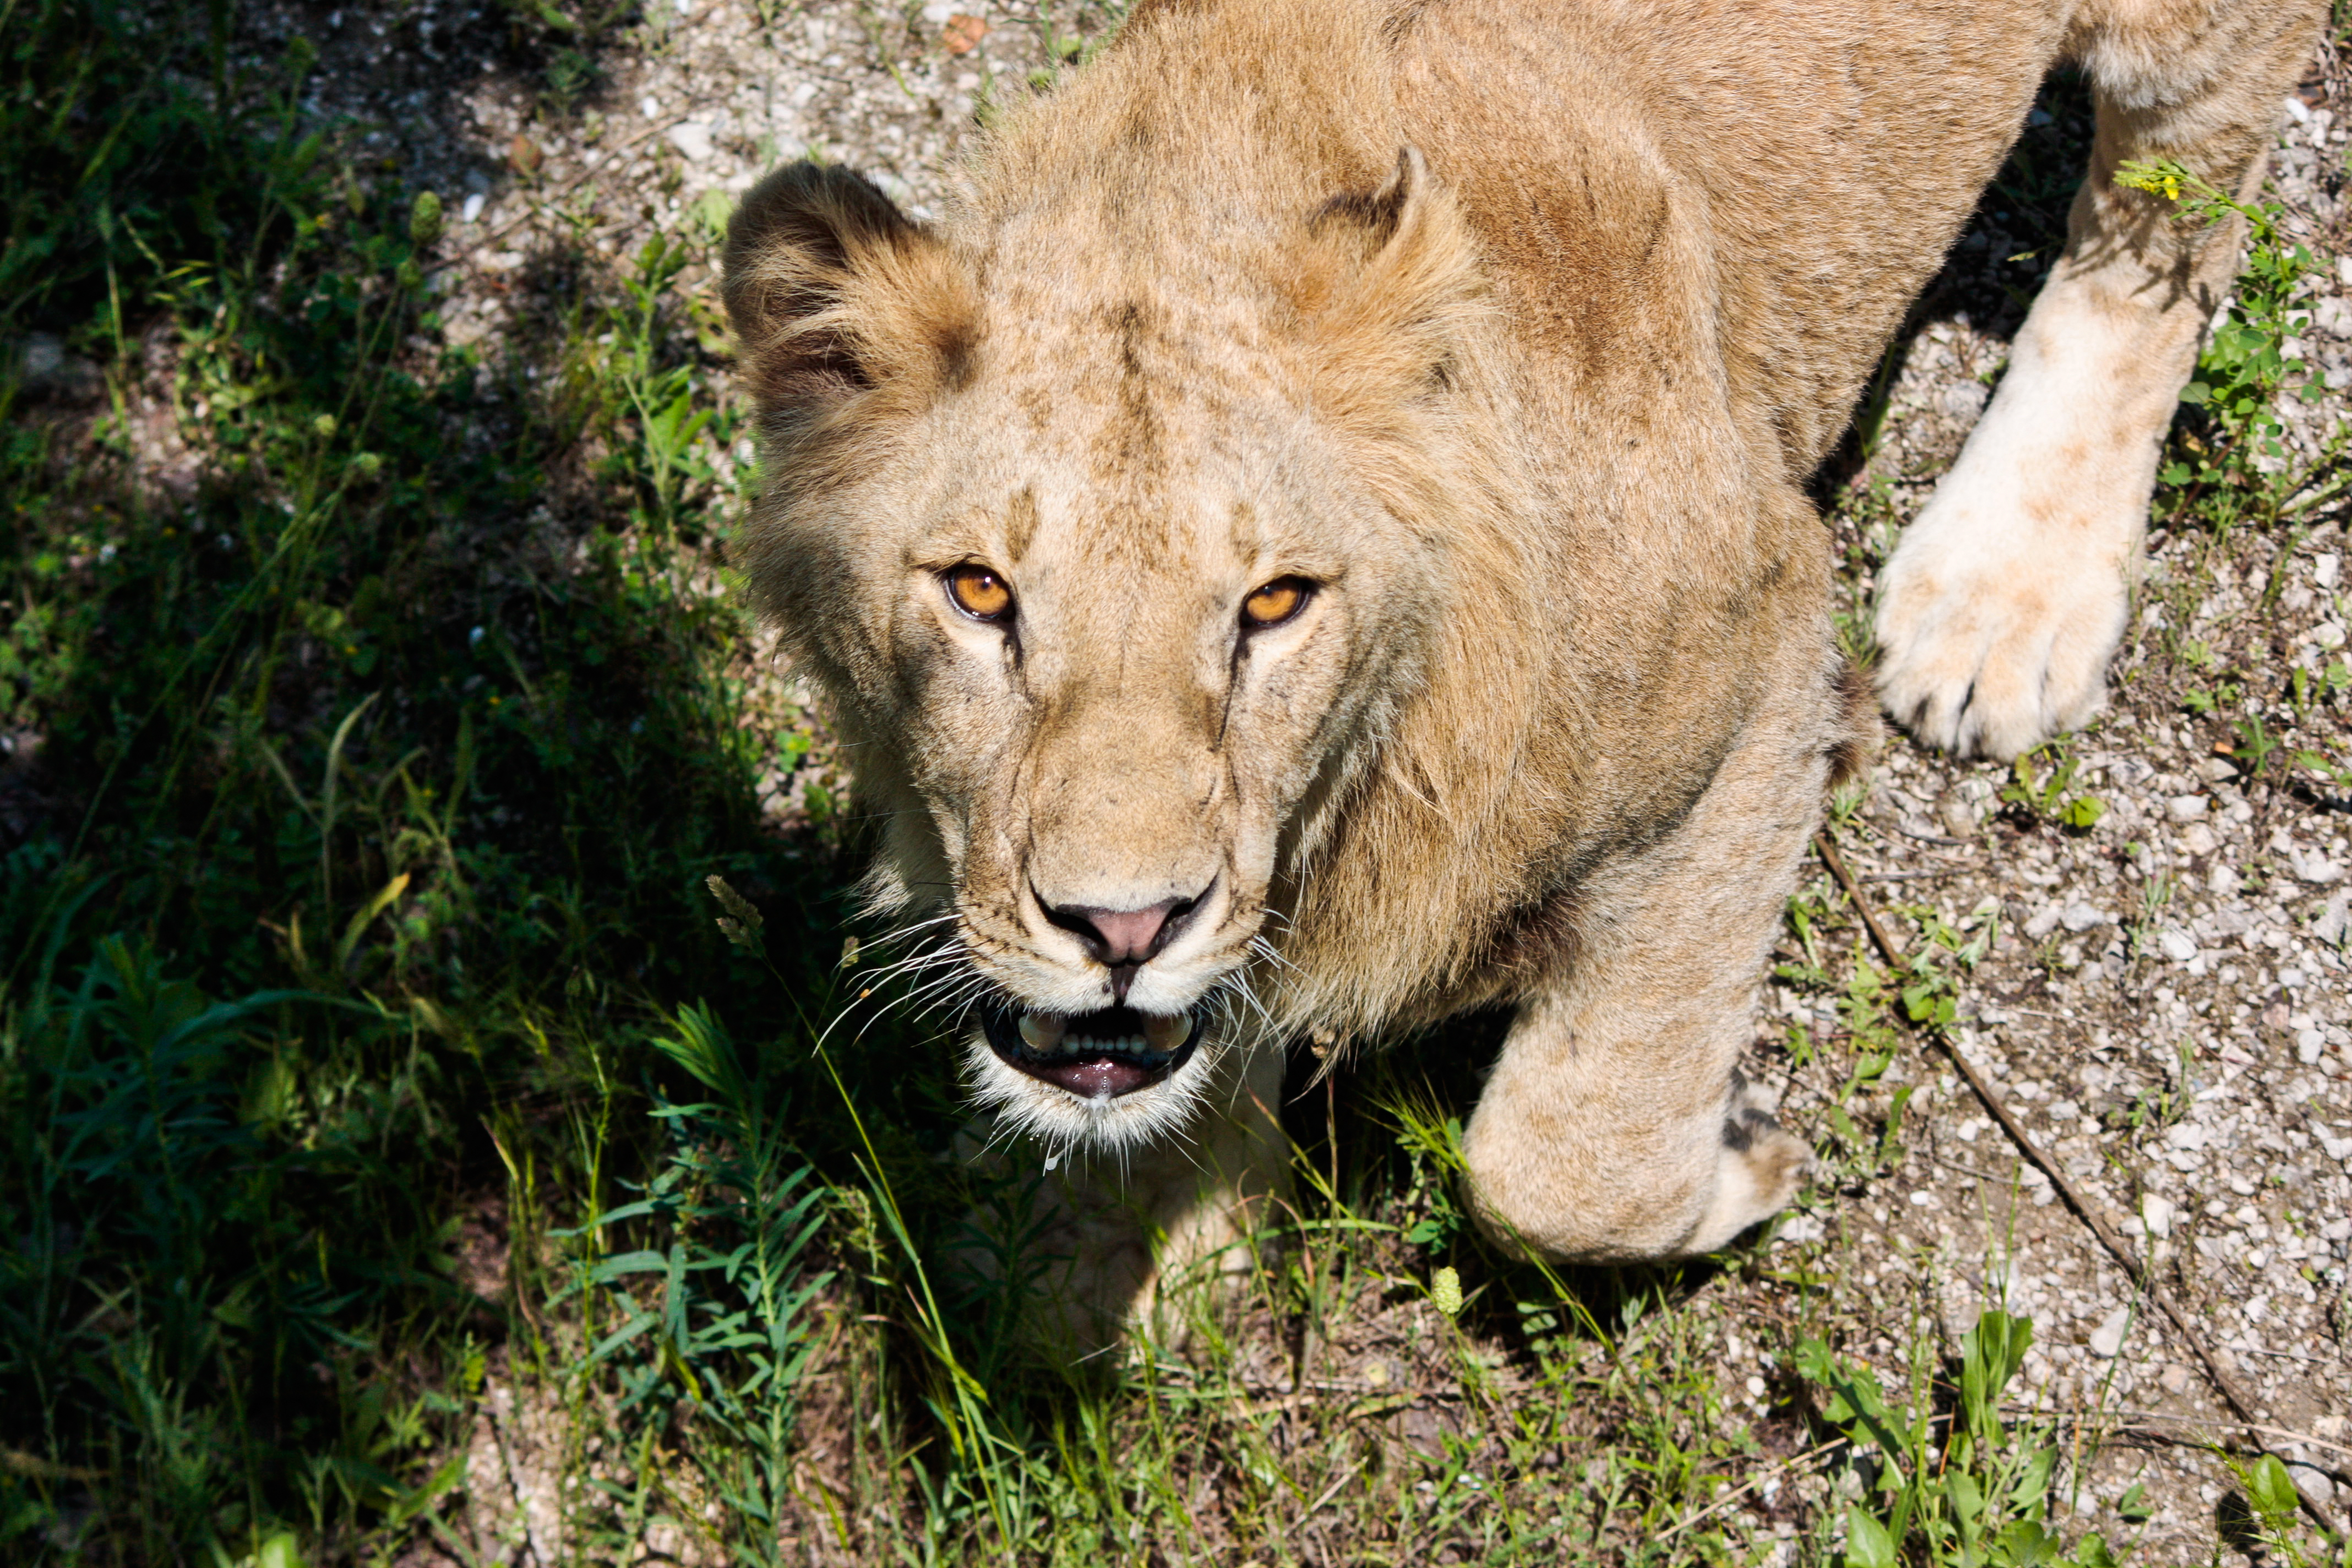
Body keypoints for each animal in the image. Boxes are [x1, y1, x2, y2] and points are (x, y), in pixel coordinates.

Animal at [724, 0, 2323, 1335]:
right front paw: (1136, 1247)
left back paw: (2004, 601)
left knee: (2165, 229)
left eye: (1274, 604)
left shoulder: (1760, 675)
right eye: (979, 591)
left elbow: (1559, 1158)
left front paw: (1740, 1166)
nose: (1122, 927)